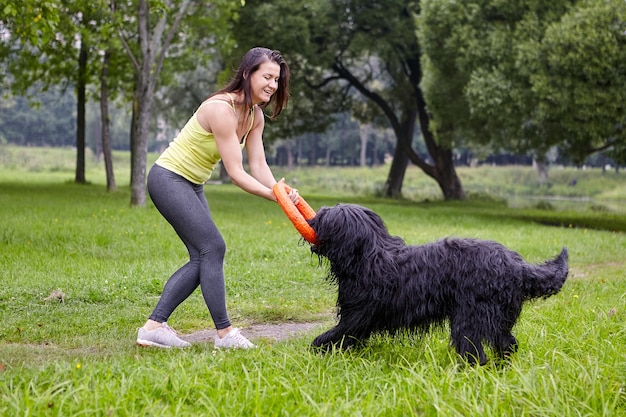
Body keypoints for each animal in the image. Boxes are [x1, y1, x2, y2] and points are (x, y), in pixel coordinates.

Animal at [308, 202, 564, 364]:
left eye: (327, 216)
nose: (311, 217)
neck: (368, 255)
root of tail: (517, 265)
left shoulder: (358, 315)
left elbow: (336, 334)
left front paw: (316, 348)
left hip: (470, 316)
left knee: (475, 354)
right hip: (499, 318)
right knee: (507, 344)